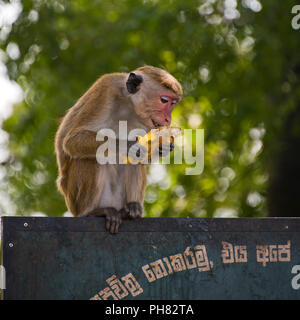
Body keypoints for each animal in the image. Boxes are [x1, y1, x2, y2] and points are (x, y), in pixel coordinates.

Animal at [55, 66, 184, 234]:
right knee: (93, 157)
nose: (168, 119)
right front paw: (132, 146)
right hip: (74, 199)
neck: (129, 104)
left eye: (173, 103)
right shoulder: (106, 89)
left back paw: (130, 210)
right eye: (164, 100)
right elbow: (72, 141)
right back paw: (93, 212)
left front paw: (163, 147)